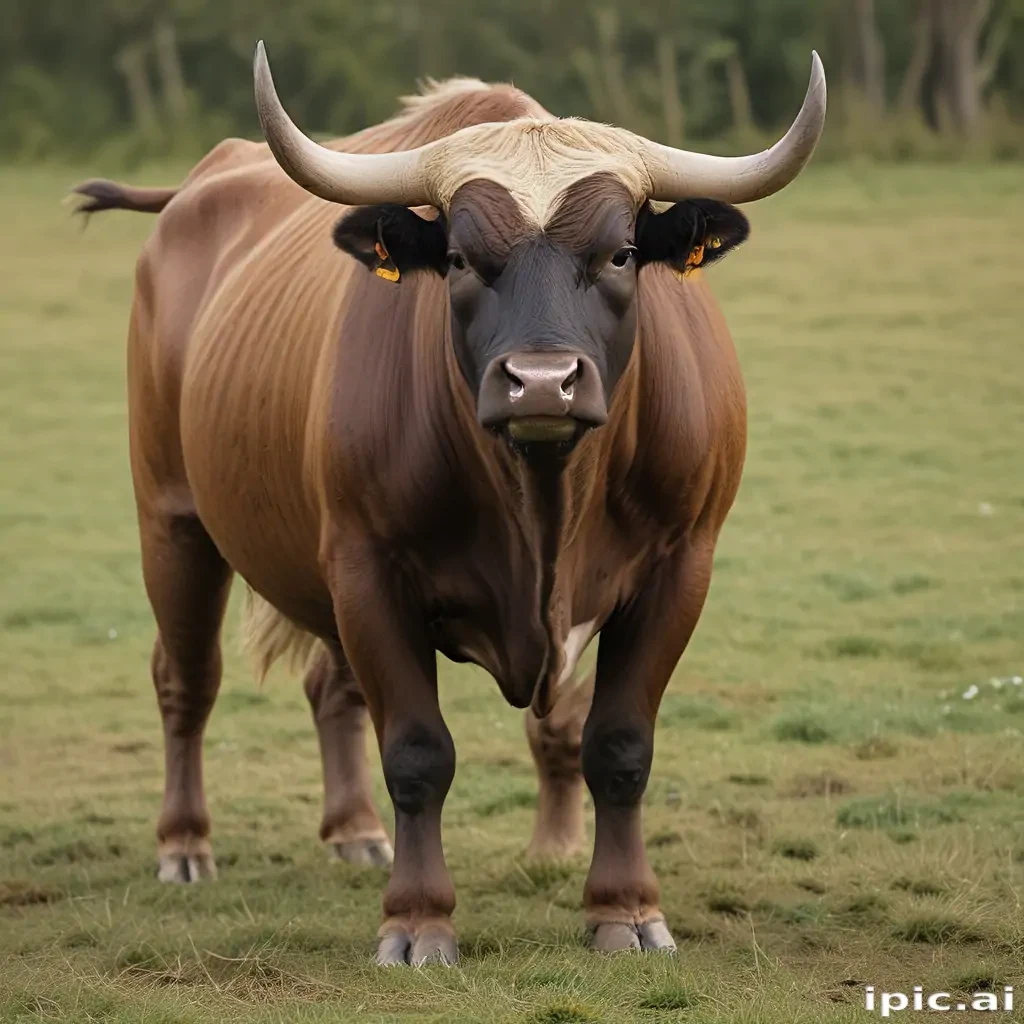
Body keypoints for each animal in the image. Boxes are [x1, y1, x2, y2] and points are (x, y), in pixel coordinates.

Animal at [73, 42, 825, 964]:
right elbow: (418, 753)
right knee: (187, 679)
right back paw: (185, 843)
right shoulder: (370, 571)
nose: (541, 381)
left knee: (330, 689)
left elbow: (615, 744)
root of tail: (197, 188)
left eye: (620, 253)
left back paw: (355, 831)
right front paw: (417, 921)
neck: (542, 499)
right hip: (174, 521)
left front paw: (624, 908)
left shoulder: (678, 568)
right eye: (461, 259)